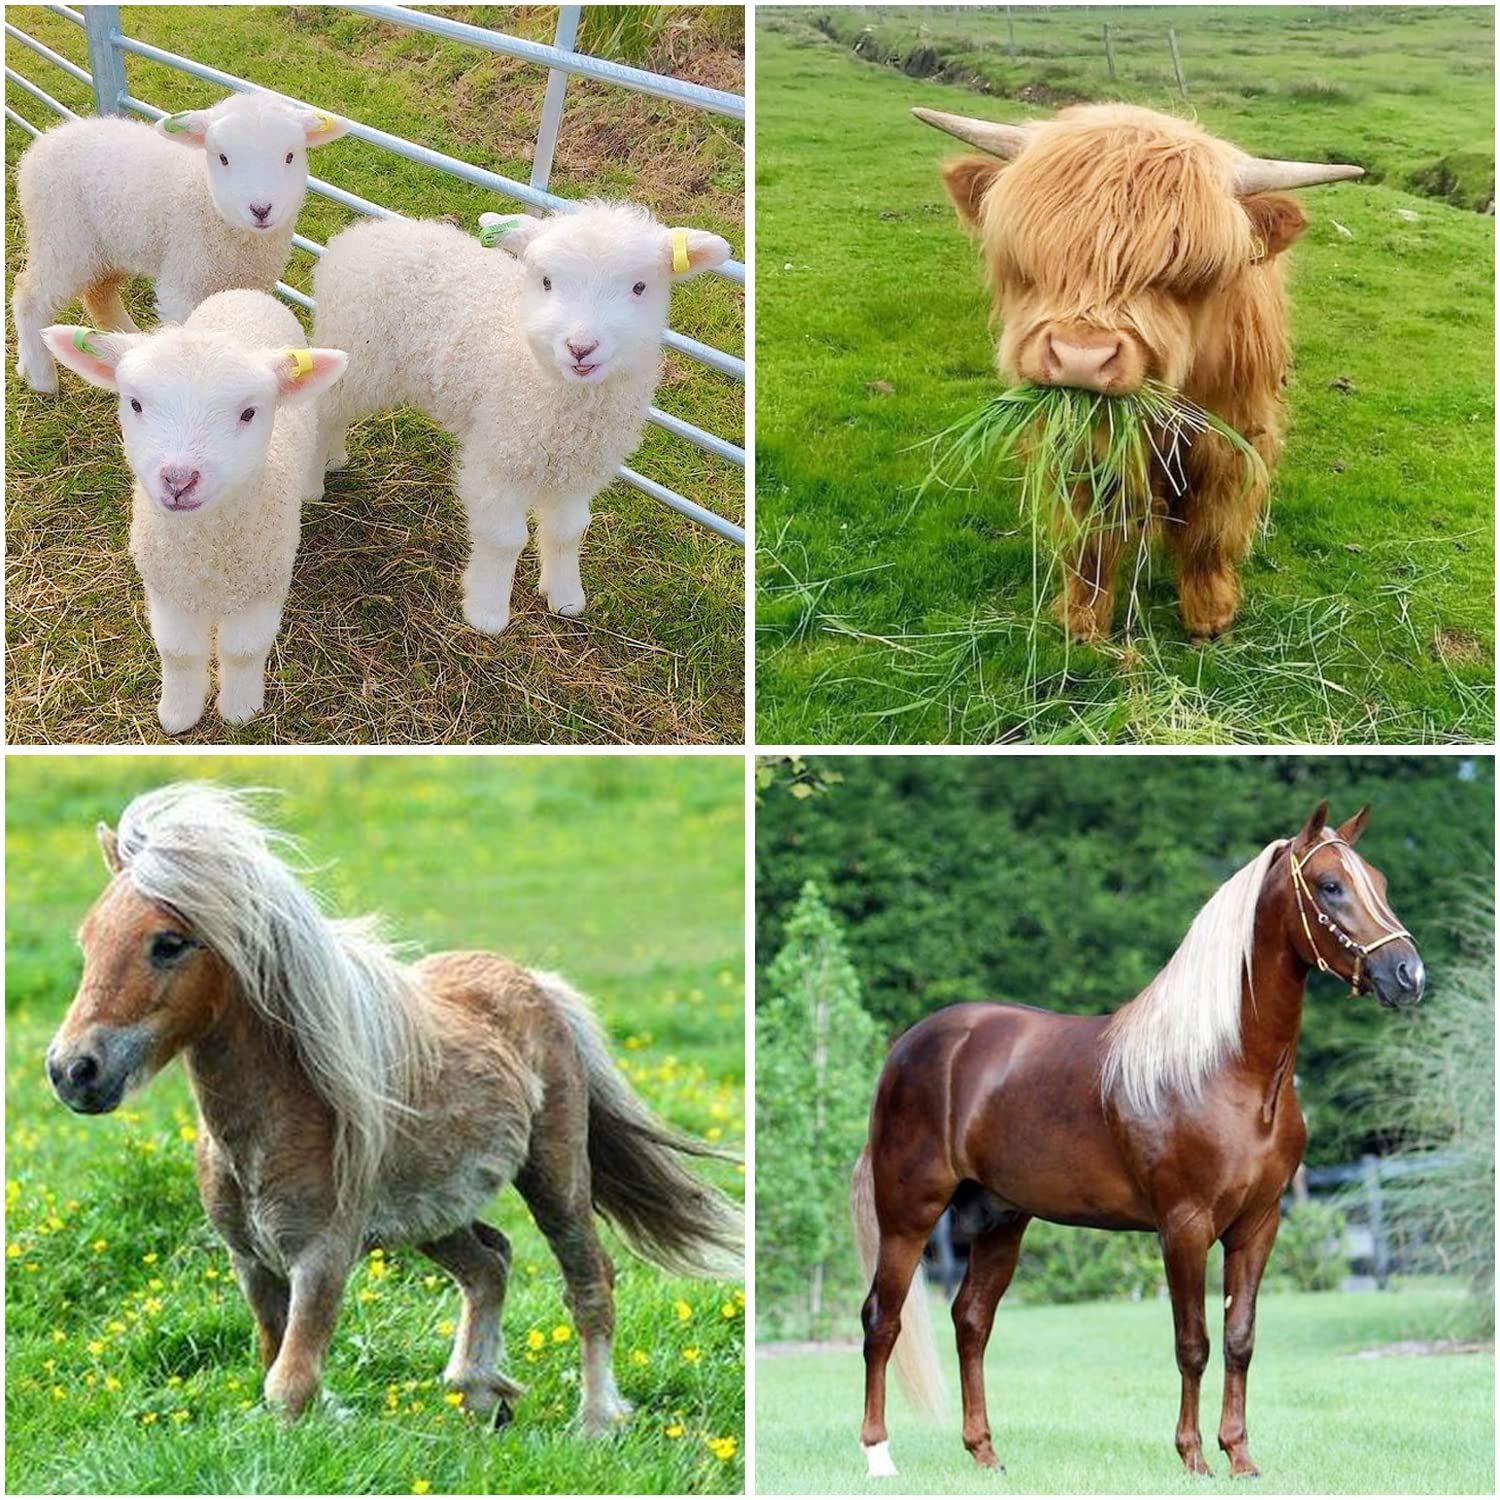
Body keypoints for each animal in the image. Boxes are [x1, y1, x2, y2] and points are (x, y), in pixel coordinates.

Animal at [13, 93, 346, 393]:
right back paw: (40, 376)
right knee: (29, 295)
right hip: (62, 238)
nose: (261, 209)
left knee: (99, 292)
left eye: (290, 156)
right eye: (223, 158)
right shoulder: (184, 283)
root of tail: (48, 139)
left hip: (108, 244)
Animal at [42, 291, 348, 735]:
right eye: (135, 403)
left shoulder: (262, 584)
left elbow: (244, 650)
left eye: (249, 413)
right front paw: (178, 715)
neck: (206, 553)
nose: (179, 480)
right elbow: (179, 652)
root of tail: (244, 293)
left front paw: (241, 711)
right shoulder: (168, 587)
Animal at [46, 783, 741, 1429]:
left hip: (556, 1178)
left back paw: (595, 1421)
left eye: (168, 943)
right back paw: (480, 1392)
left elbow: (289, 1385)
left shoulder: (322, 1257)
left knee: (588, 1282)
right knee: (490, 1262)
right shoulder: (252, 1263)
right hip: (434, 1213)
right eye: (87, 939)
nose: (72, 1070)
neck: (269, 1126)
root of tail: (536, 984)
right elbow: (277, 1365)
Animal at [311, 200, 732, 634]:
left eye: (639, 287)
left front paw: (566, 597)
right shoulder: (499, 456)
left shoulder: (578, 469)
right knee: (321, 412)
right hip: (355, 354)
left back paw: (334, 458)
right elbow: (504, 539)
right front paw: (487, 613)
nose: (581, 348)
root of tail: (359, 233)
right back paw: (312, 482)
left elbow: (568, 532)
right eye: (546, 282)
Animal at [851, 801, 1424, 1481]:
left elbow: (1240, 1339)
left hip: (1000, 1220)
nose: (1408, 974)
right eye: (1331, 886)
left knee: (971, 1320)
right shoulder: (1184, 1226)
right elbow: (1193, 1343)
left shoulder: (1258, 1226)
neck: (1228, 1069)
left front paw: (1241, 1457)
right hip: (908, 1215)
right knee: (882, 1321)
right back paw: (879, 1456)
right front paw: (1194, 1459)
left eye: (1381, 882)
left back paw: (986, 1453)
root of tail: (908, 1048)